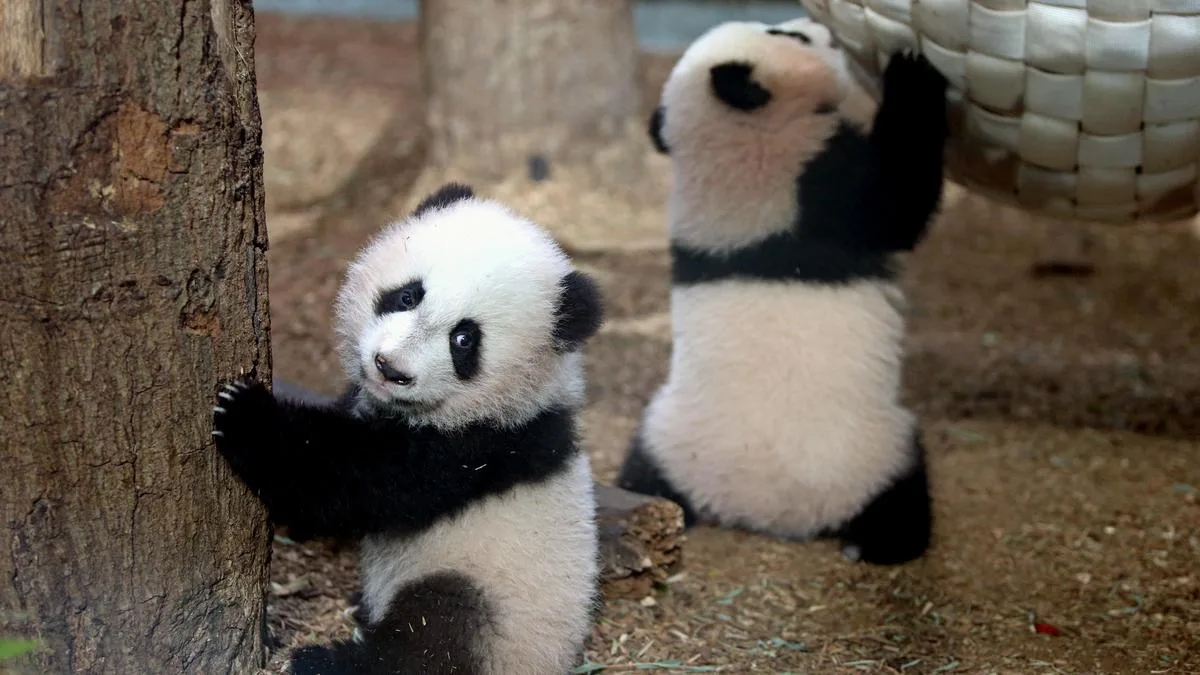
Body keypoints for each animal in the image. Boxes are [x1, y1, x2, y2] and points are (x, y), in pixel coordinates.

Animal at [210, 183, 605, 675]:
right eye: (407, 296)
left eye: (464, 339)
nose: (389, 368)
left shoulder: (481, 446)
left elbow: (355, 482)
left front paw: (247, 416)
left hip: (493, 599)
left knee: (429, 638)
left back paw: (324, 661)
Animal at [616, 18, 950, 566]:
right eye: (784, 34)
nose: (818, 26)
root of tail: (770, 515)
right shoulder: (816, 185)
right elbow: (897, 203)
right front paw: (912, 74)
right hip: (874, 448)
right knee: (903, 488)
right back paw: (880, 542)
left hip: (665, 435)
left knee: (643, 473)